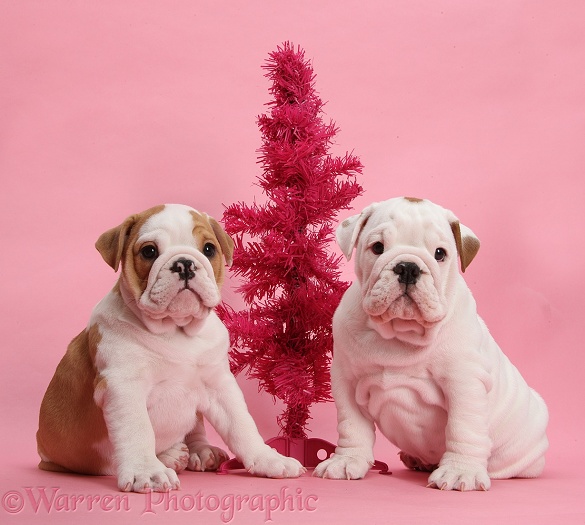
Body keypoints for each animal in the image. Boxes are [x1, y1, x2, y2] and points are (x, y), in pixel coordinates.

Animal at [35, 204, 306, 492]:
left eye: (209, 249)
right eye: (149, 251)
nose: (184, 263)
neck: (176, 330)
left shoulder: (220, 384)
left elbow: (242, 425)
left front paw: (268, 459)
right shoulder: (124, 387)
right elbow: (138, 430)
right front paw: (147, 471)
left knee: (196, 428)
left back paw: (199, 452)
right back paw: (170, 457)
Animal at [314, 194, 548, 490]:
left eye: (440, 254)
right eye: (377, 248)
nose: (408, 267)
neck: (400, 332)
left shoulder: (464, 383)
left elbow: (463, 427)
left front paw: (460, 471)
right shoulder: (346, 380)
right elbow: (351, 425)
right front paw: (346, 460)